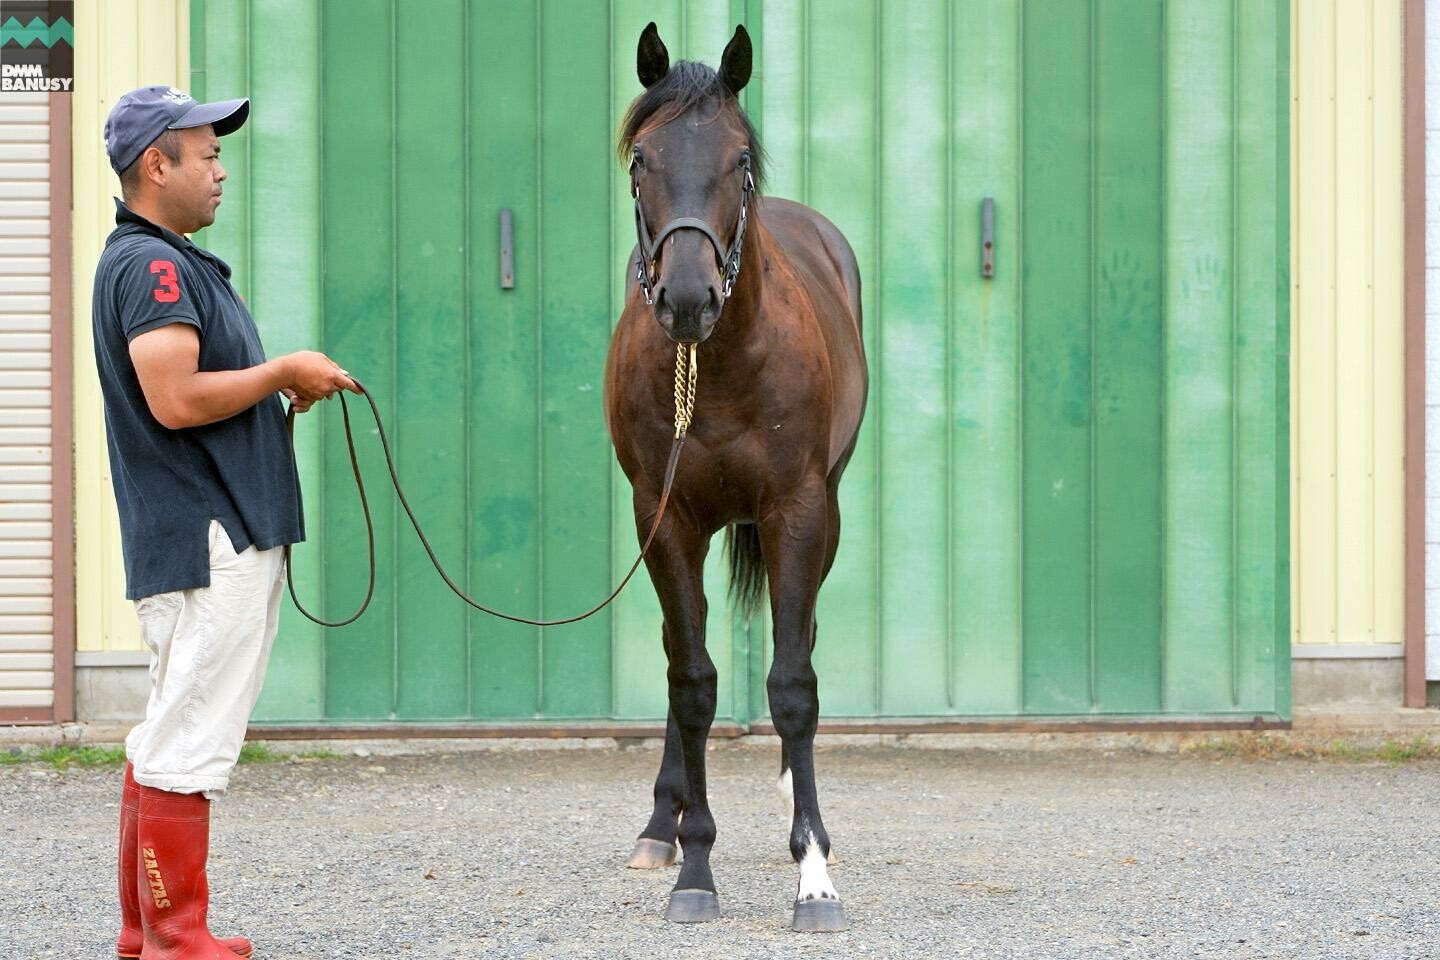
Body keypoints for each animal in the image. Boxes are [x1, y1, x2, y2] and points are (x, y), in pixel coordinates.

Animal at [604, 24, 869, 938]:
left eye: (741, 161)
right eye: (641, 159)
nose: (687, 297)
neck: (717, 368)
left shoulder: (798, 512)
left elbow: (792, 685)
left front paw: (813, 873)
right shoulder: (664, 518)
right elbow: (692, 684)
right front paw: (693, 864)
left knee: (804, 640)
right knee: (679, 658)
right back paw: (660, 823)